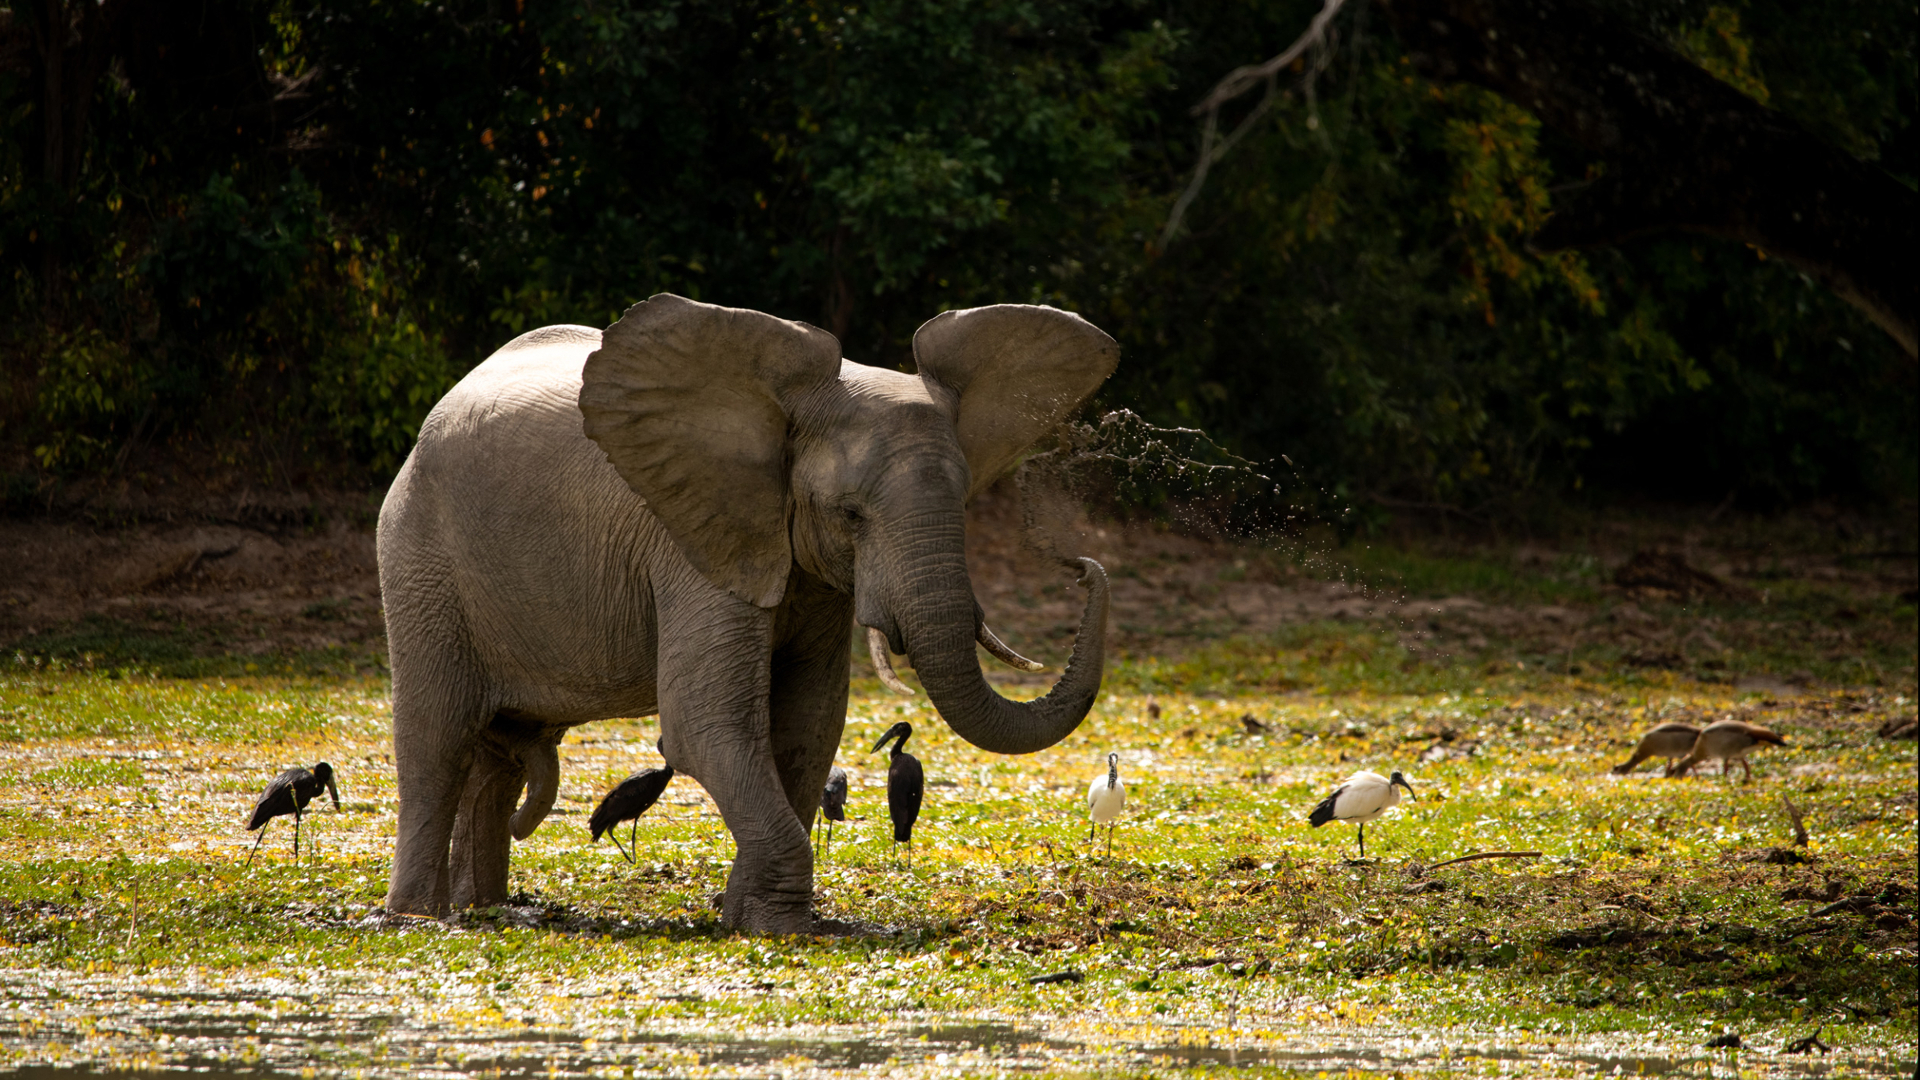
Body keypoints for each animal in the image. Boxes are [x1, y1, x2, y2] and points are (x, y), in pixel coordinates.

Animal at [376, 292, 1117, 933]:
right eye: (851, 515)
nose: (1083, 563)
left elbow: (808, 723)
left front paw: (747, 918)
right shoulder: (690, 542)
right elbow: (707, 723)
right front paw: (780, 927)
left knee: (498, 759)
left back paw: (487, 909)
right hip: (418, 556)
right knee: (437, 739)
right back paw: (420, 918)